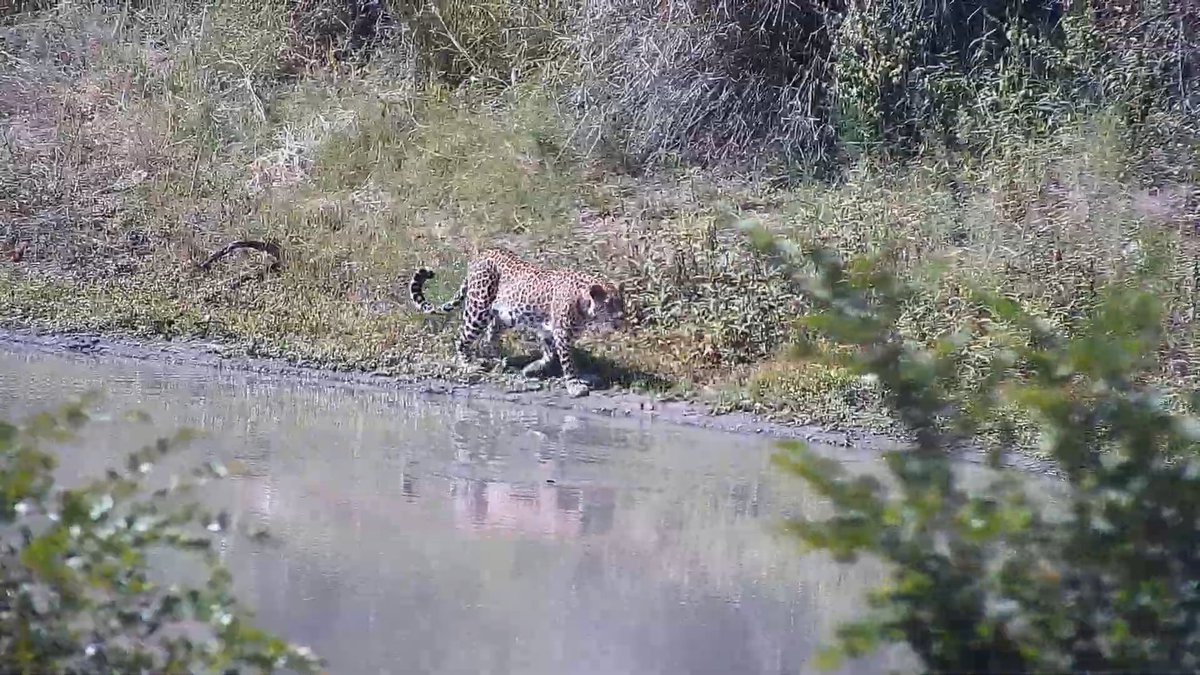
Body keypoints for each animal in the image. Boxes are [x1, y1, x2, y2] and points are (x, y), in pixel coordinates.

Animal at [408, 246, 628, 393]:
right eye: (609, 304)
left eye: (621, 303)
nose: (621, 317)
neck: (583, 305)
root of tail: (481, 254)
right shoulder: (561, 333)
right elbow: (567, 361)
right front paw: (574, 384)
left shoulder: (547, 331)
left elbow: (550, 354)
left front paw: (532, 368)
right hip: (478, 308)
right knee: (462, 339)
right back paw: (469, 364)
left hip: (503, 315)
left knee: (489, 337)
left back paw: (499, 361)